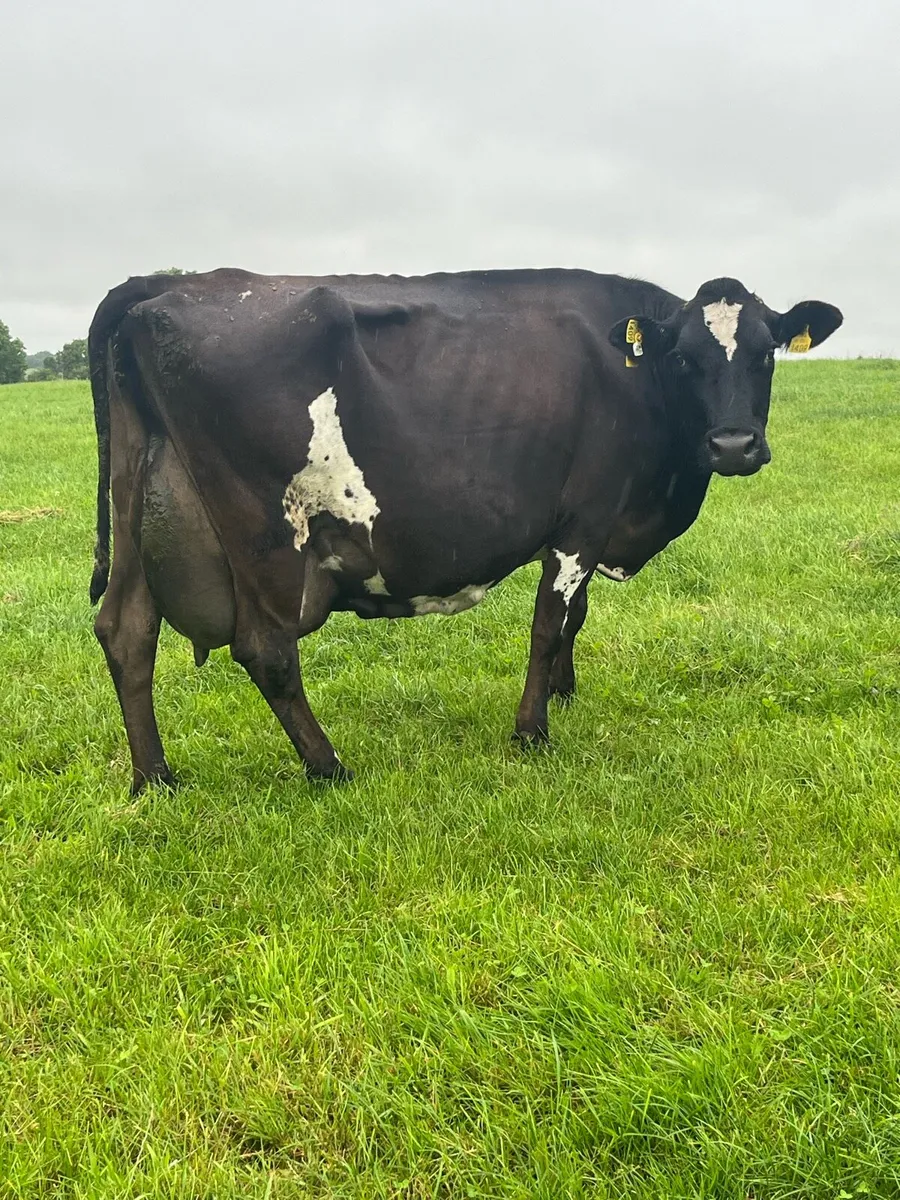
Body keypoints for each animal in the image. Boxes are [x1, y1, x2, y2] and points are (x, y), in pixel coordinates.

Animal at [87, 269, 842, 792]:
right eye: (685, 358)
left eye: (767, 353)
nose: (734, 445)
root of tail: (168, 284)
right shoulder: (584, 519)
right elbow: (550, 623)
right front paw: (532, 731)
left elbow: (576, 617)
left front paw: (564, 694)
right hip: (267, 535)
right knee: (265, 650)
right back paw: (329, 768)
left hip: (141, 499)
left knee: (126, 631)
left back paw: (155, 779)